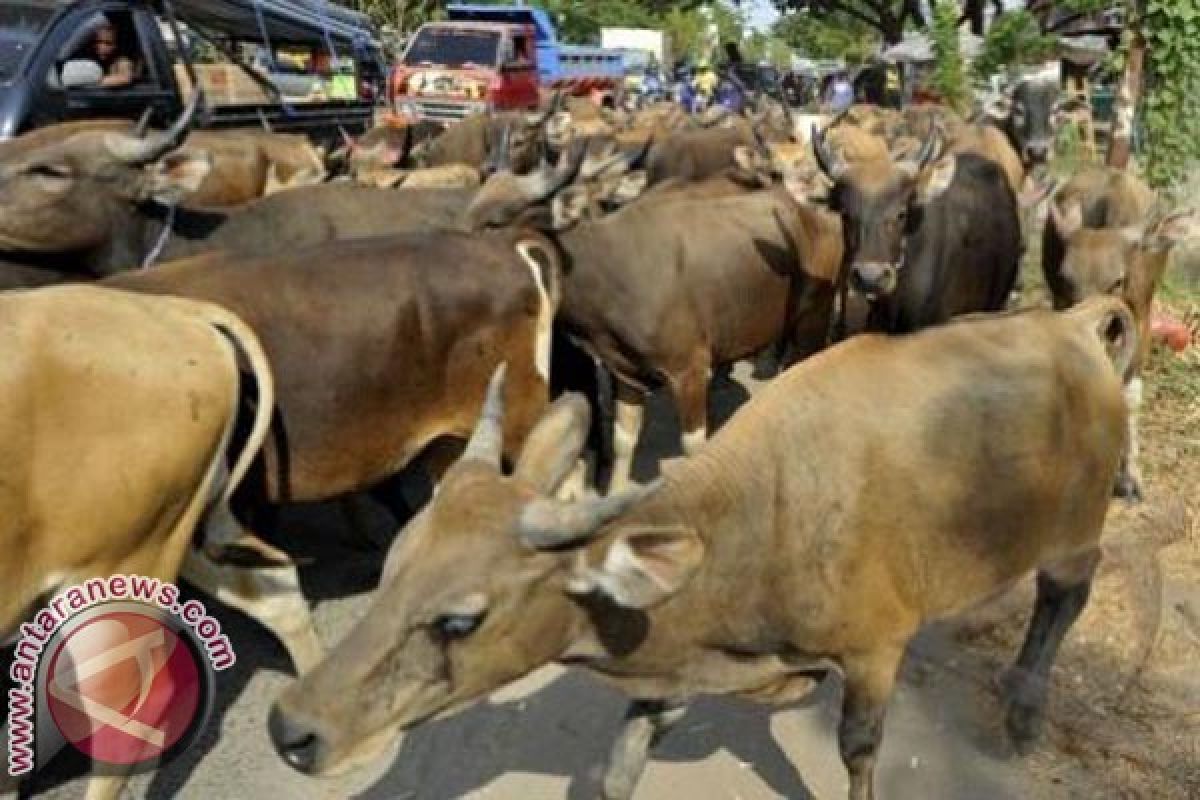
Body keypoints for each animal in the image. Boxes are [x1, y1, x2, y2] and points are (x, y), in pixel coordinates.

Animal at [270, 296, 1132, 800]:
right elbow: (619, 768)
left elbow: (859, 753)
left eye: (459, 620)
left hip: (1074, 534)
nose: (290, 729)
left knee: (1065, 598)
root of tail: (1071, 322)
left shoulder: (873, 652)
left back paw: (1024, 706)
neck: (763, 518)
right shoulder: (674, 668)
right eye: (391, 570)